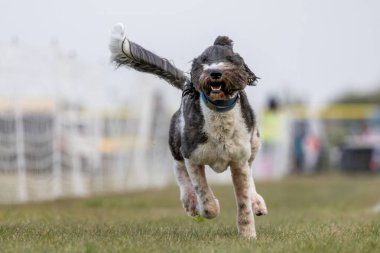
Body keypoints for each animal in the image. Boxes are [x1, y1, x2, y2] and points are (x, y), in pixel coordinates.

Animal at [108, 23, 268, 237]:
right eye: (203, 60)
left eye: (229, 59)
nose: (214, 72)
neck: (219, 115)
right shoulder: (192, 155)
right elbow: (203, 194)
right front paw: (206, 207)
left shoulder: (239, 160)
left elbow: (243, 199)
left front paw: (248, 234)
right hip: (175, 141)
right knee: (179, 170)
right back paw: (190, 202)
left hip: (255, 141)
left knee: (250, 172)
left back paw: (257, 202)